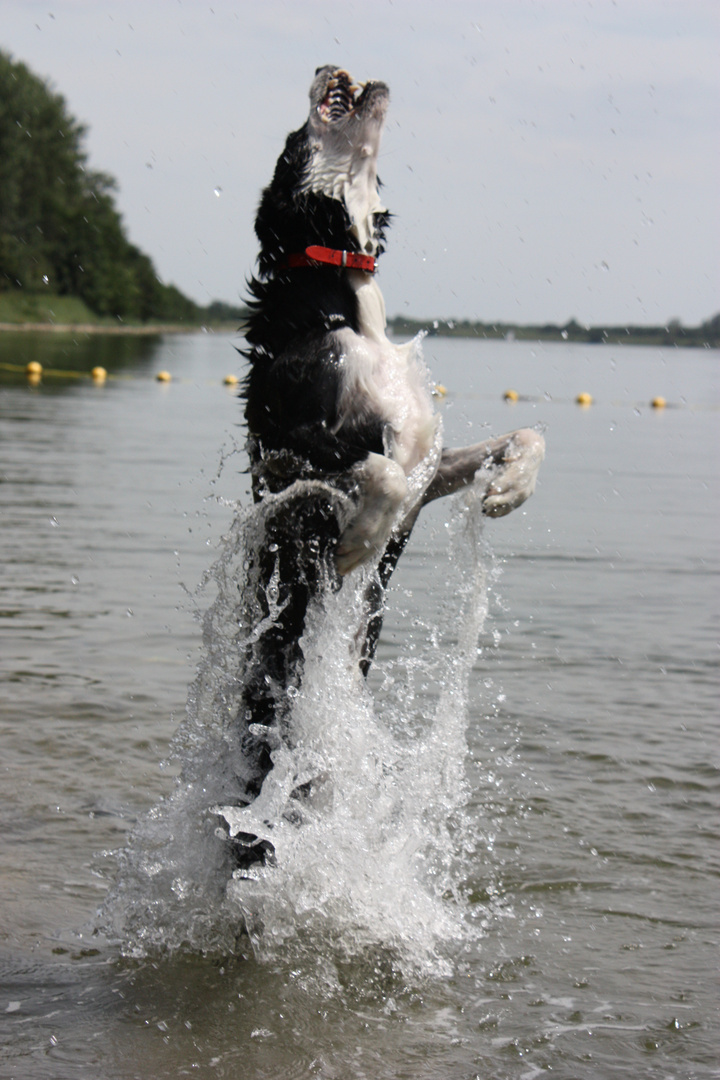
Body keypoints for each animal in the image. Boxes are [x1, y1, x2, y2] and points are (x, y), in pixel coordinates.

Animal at [222, 67, 544, 872]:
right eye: (291, 140)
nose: (328, 65)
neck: (343, 303)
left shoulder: (429, 466)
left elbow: (520, 434)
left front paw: (510, 487)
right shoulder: (297, 458)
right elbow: (377, 479)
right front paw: (357, 544)